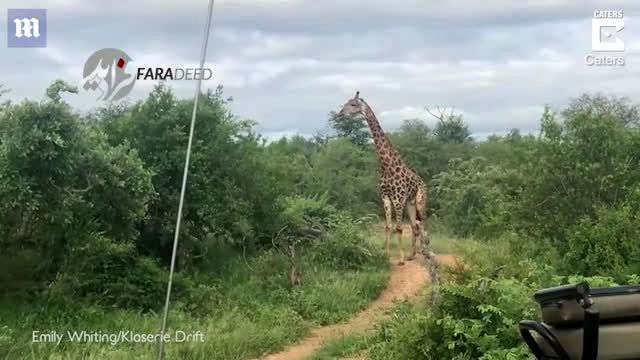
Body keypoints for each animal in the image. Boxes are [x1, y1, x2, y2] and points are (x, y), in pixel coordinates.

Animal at [338, 90, 438, 290]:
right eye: (346, 103)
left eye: (353, 104)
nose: (340, 114)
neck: (386, 165)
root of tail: (424, 183)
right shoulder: (385, 197)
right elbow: (388, 226)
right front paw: (386, 255)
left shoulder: (398, 198)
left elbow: (398, 228)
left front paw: (400, 259)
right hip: (410, 204)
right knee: (415, 227)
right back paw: (412, 254)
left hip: (419, 201)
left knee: (423, 223)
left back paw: (425, 252)